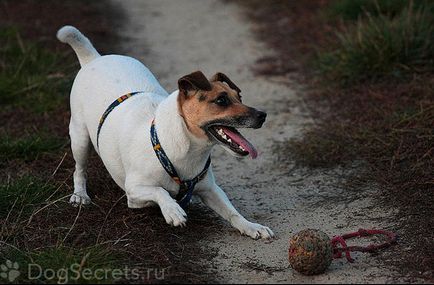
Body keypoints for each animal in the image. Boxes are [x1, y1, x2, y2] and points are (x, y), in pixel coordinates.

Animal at [57, 25, 272, 237]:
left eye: (239, 97)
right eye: (221, 100)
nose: (262, 115)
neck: (185, 149)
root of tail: (94, 58)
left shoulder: (211, 189)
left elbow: (232, 212)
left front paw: (251, 226)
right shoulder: (133, 190)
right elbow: (160, 191)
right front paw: (172, 210)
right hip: (80, 139)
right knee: (79, 169)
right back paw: (80, 195)